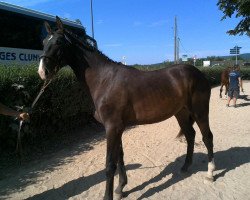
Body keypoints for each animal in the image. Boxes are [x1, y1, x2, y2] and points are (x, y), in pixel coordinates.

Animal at [37, 17, 215, 200]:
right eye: (43, 42)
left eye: (59, 42)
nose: (43, 71)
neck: (104, 80)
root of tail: (198, 73)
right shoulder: (117, 128)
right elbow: (119, 157)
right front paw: (121, 188)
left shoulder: (112, 127)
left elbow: (110, 164)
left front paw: (108, 196)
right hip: (181, 113)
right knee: (190, 135)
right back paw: (185, 167)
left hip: (200, 112)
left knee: (207, 137)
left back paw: (210, 174)